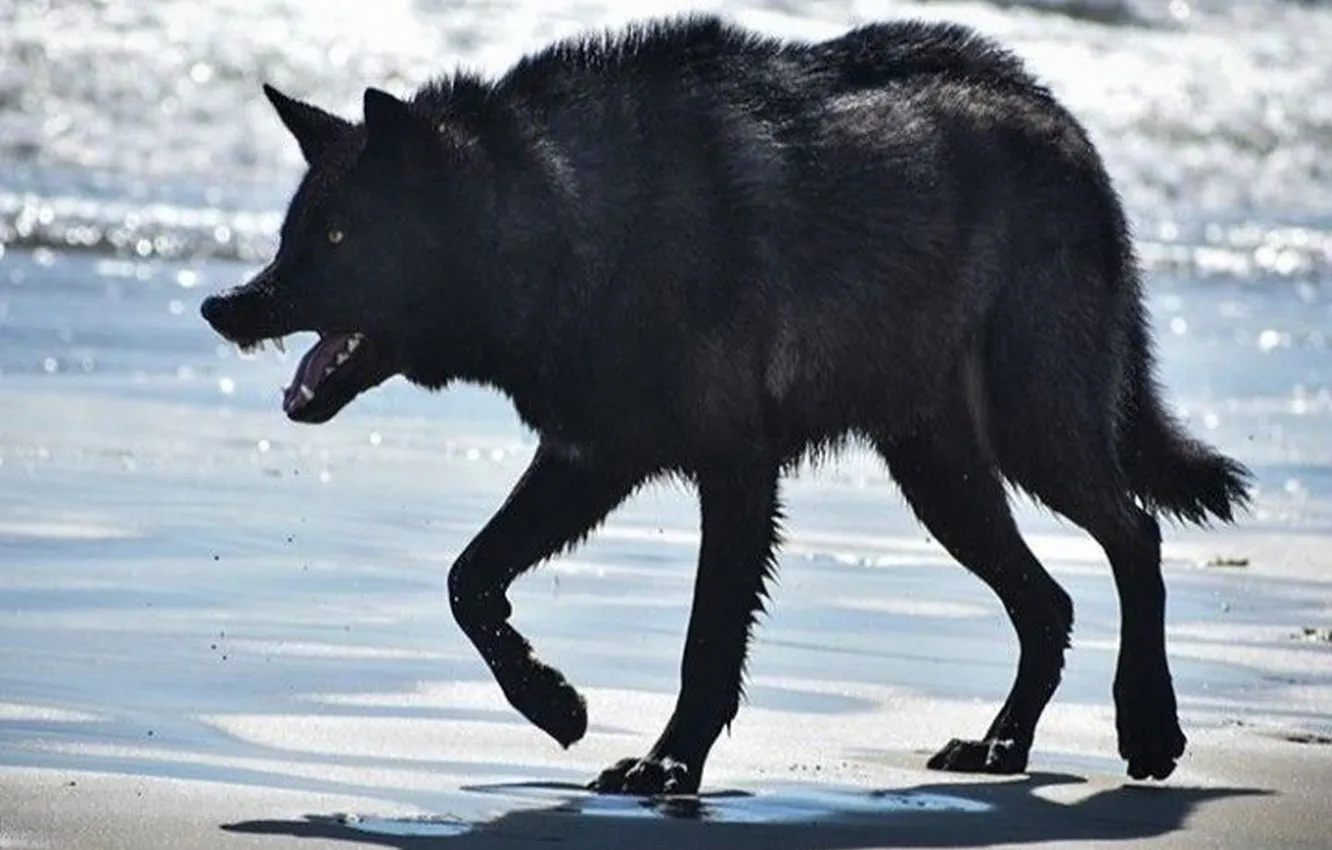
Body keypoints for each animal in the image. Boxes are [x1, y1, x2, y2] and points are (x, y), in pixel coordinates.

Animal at [200, 14, 1251, 795]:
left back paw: (1148, 729)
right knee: (1049, 600)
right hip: (940, 476)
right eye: (290, 235)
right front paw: (557, 705)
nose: (224, 306)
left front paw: (668, 765)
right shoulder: (589, 459)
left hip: (1033, 432)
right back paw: (1000, 748)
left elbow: (707, 642)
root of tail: (1061, 116)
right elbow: (468, 582)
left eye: (338, 237)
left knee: (1135, 536)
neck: (568, 221)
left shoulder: (737, 474)